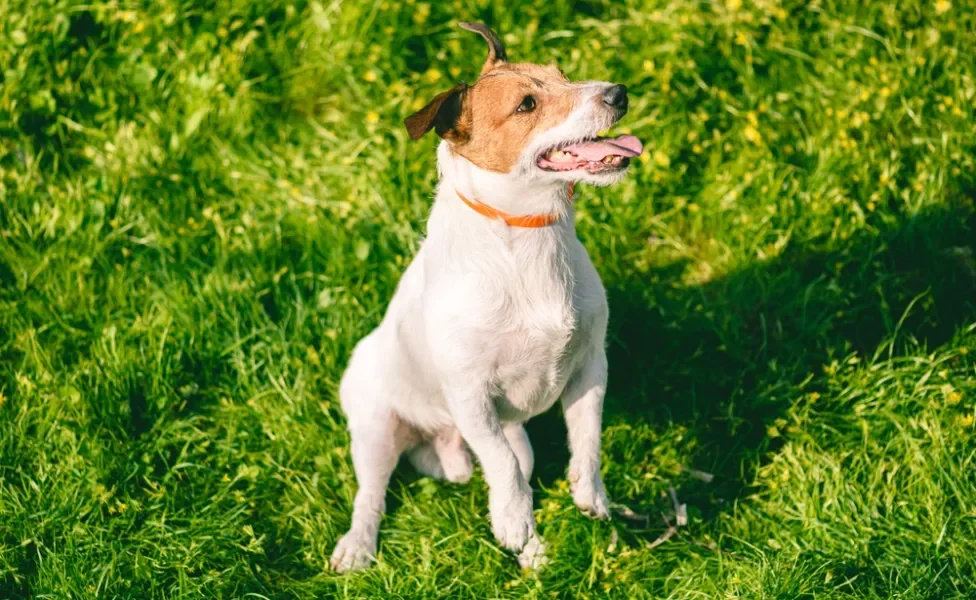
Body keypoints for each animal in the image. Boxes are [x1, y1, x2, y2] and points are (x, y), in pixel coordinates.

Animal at [332, 21, 644, 568]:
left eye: (563, 73)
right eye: (526, 105)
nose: (618, 93)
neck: (525, 233)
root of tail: (443, 441)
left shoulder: (590, 367)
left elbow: (586, 441)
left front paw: (591, 496)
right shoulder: (470, 394)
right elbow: (503, 468)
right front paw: (514, 521)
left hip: (512, 436)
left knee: (516, 467)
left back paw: (532, 552)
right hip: (375, 428)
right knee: (373, 493)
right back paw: (358, 545)